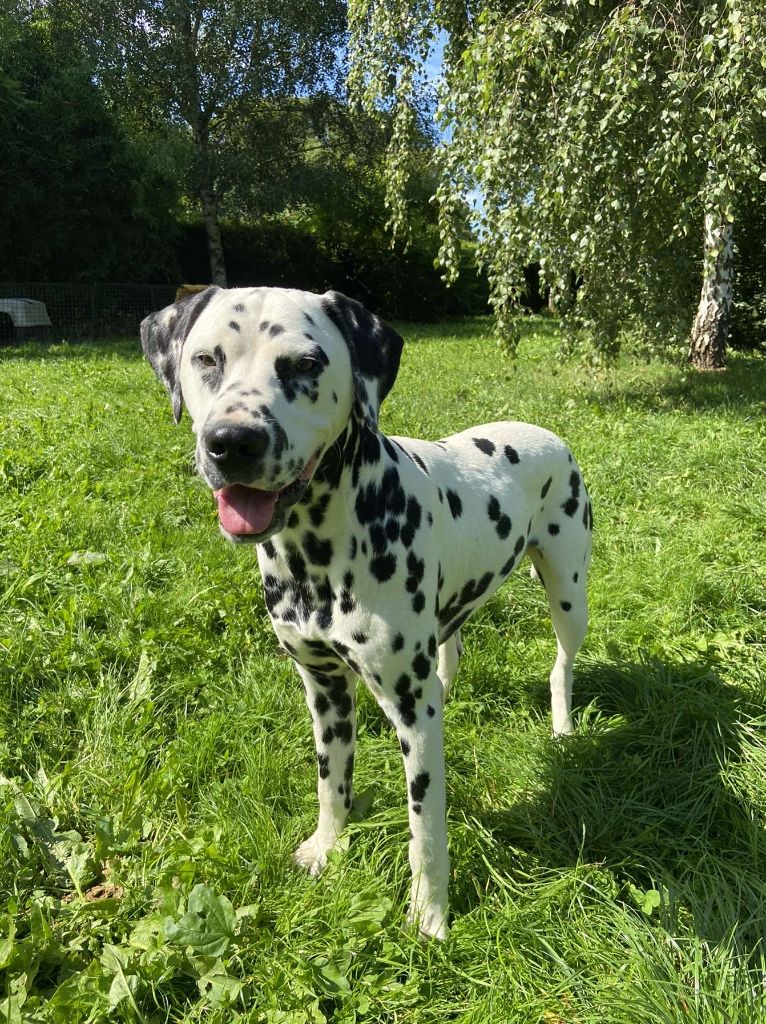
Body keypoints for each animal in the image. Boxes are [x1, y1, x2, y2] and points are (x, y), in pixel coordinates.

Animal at [142, 284, 593, 937]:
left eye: (305, 364)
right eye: (206, 359)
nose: (231, 442)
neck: (317, 555)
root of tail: (547, 434)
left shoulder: (412, 718)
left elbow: (425, 828)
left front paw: (429, 914)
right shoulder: (324, 688)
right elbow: (332, 783)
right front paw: (327, 849)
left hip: (568, 592)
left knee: (560, 664)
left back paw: (562, 726)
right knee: (452, 647)